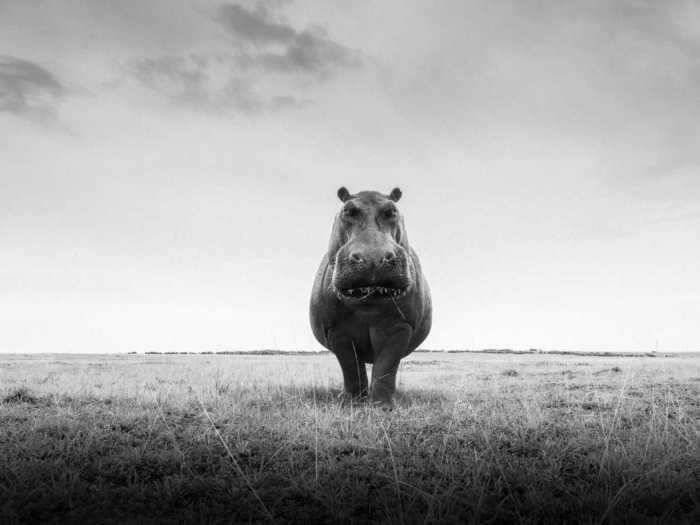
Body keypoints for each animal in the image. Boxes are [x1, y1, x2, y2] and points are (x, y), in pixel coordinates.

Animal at [308, 186, 430, 408]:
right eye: (347, 210)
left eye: (393, 210)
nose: (373, 258)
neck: (369, 304)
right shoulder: (337, 330)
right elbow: (351, 367)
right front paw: (351, 402)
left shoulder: (401, 325)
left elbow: (387, 366)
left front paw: (383, 407)